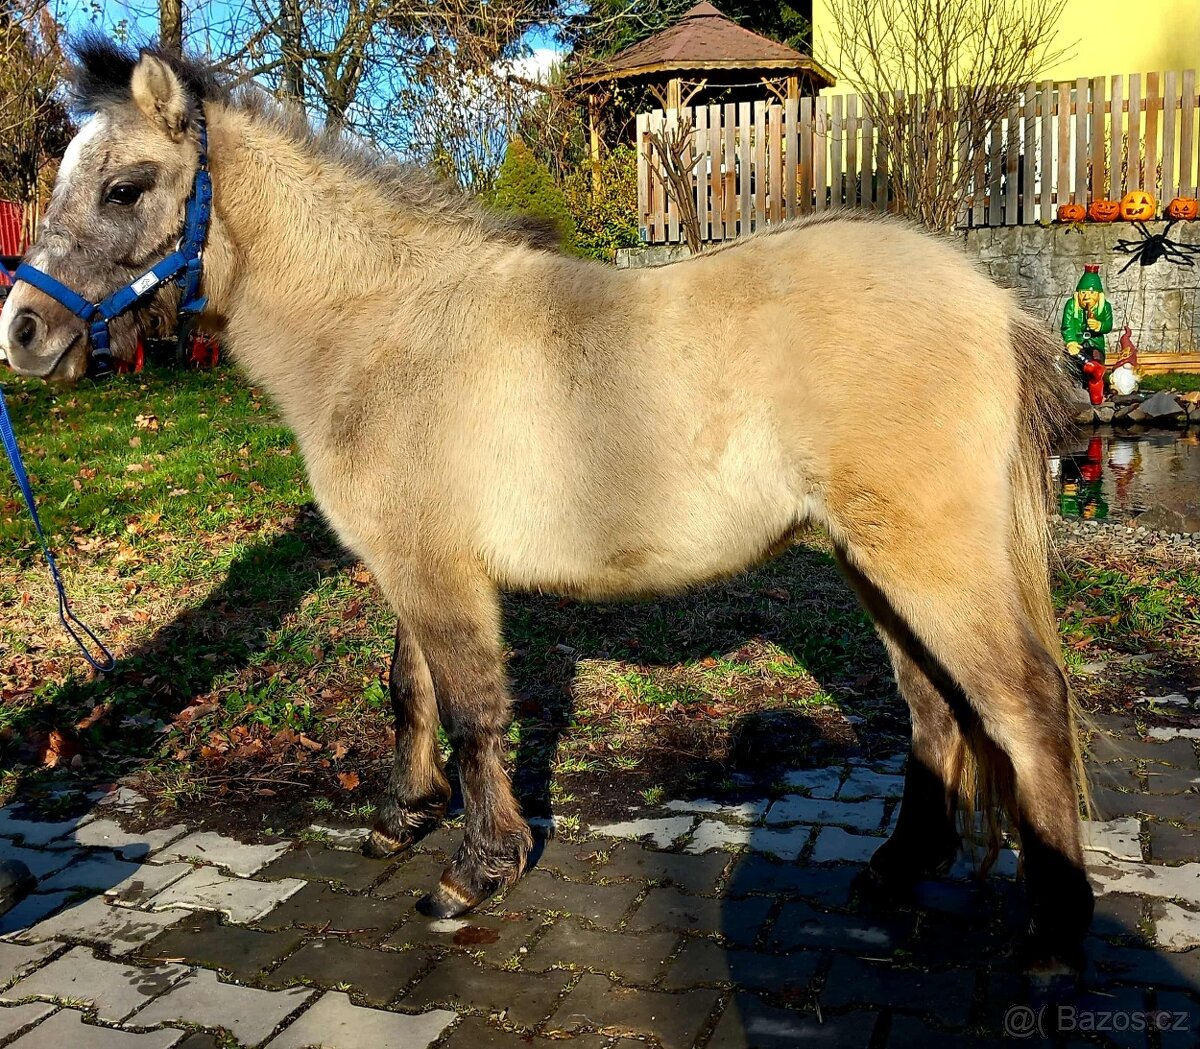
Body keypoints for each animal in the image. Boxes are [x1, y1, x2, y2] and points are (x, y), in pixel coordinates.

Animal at [0, 39, 1094, 974]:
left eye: (125, 187)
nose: (23, 329)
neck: (383, 327)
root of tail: (994, 304)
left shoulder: (439, 573)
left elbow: (475, 711)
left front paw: (473, 871)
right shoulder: (410, 565)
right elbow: (411, 691)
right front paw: (404, 815)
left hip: (929, 560)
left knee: (1024, 704)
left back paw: (1051, 935)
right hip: (874, 563)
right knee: (937, 711)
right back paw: (893, 872)